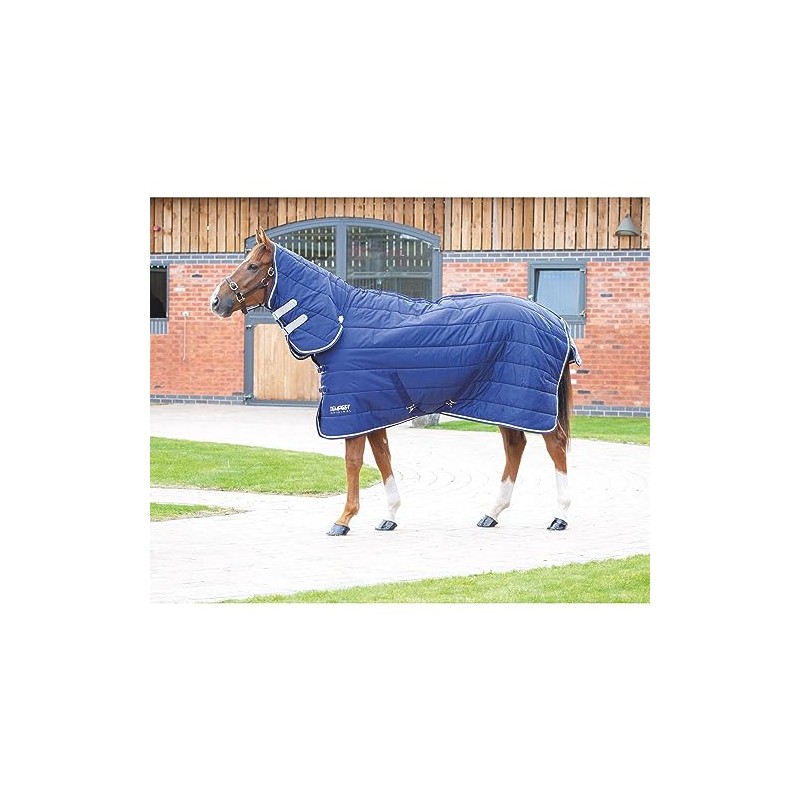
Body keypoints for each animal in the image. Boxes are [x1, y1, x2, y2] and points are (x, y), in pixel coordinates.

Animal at [210, 228, 581, 536]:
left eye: (253, 265)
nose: (217, 301)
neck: (343, 322)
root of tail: (555, 321)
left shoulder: (352, 408)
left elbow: (354, 462)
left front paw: (343, 520)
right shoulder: (373, 410)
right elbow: (382, 458)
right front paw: (388, 516)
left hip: (527, 402)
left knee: (556, 445)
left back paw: (560, 516)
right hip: (504, 402)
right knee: (516, 446)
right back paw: (492, 513)